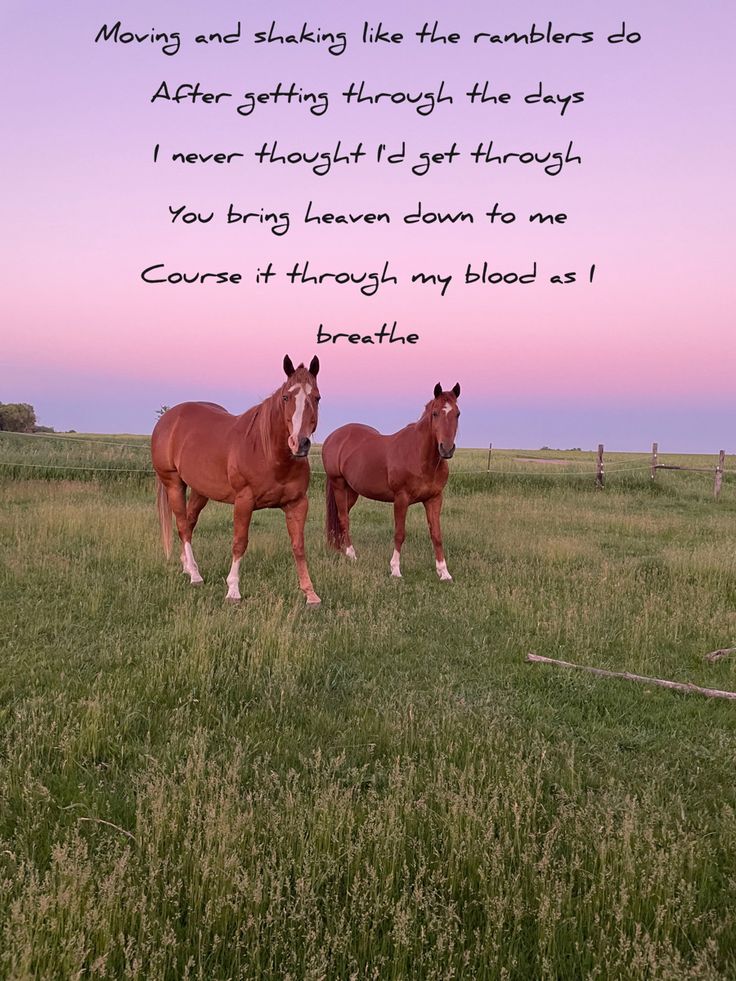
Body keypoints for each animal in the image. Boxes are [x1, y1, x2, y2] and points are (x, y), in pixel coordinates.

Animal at [151, 358, 320, 604]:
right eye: (286, 397)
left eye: (317, 397)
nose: (300, 443)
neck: (268, 454)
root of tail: (168, 419)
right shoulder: (244, 501)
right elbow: (240, 542)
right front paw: (233, 591)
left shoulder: (298, 504)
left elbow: (298, 546)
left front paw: (311, 593)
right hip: (173, 484)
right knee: (182, 525)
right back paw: (195, 575)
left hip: (201, 491)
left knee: (189, 523)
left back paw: (187, 567)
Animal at [322, 380, 460, 580]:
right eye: (435, 413)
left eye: (457, 413)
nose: (447, 449)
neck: (419, 455)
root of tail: (333, 437)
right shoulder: (401, 499)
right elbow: (399, 534)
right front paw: (395, 570)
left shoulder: (434, 499)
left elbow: (436, 534)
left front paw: (444, 572)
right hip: (338, 485)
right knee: (343, 518)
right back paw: (351, 554)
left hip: (352, 491)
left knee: (342, 517)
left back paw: (340, 550)